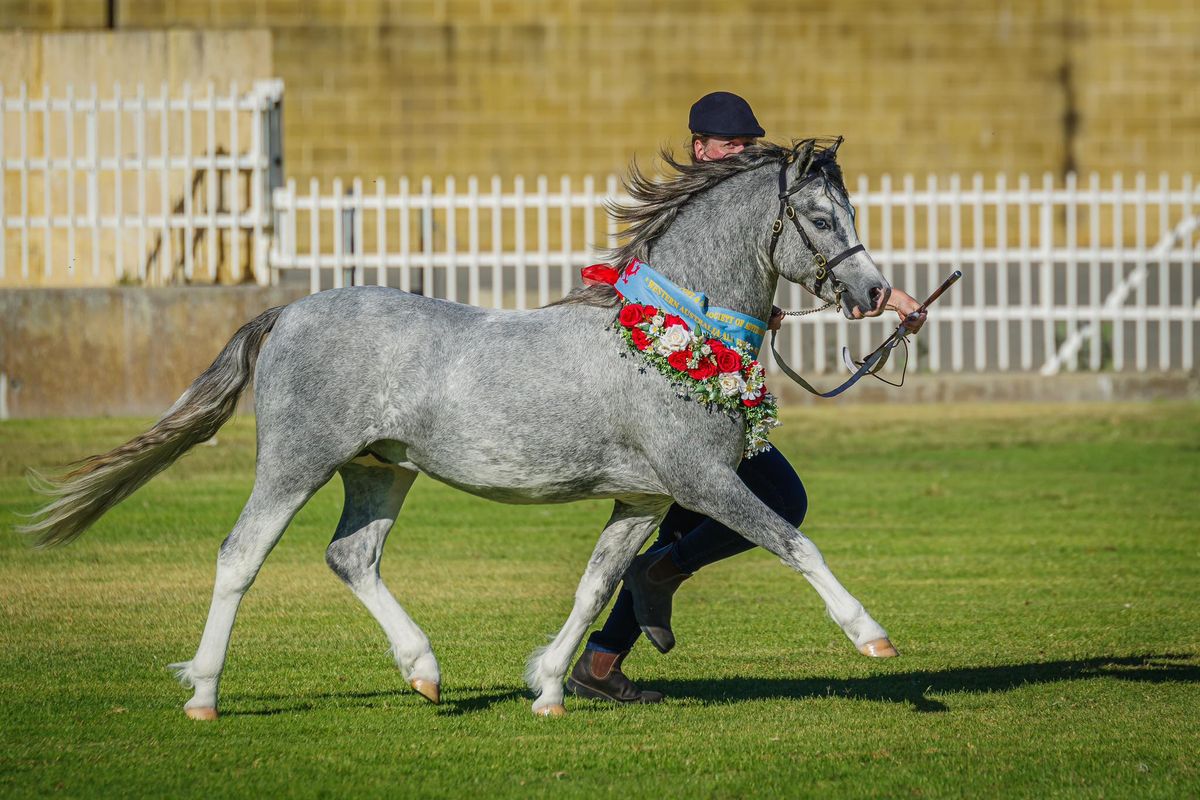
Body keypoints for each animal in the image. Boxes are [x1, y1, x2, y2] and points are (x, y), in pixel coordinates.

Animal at [23, 139, 897, 719]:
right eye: (821, 217)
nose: (873, 293)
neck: (673, 334)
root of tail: (289, 310)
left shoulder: (642, 501)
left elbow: (595, 585)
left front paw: (547, 688)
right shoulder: (704, 482)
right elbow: (794, 542)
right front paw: (872, 636)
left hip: (382, 470)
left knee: (351, 558)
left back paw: (424, 671)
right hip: (298, 463)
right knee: (241, 556)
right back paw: (204, 694)